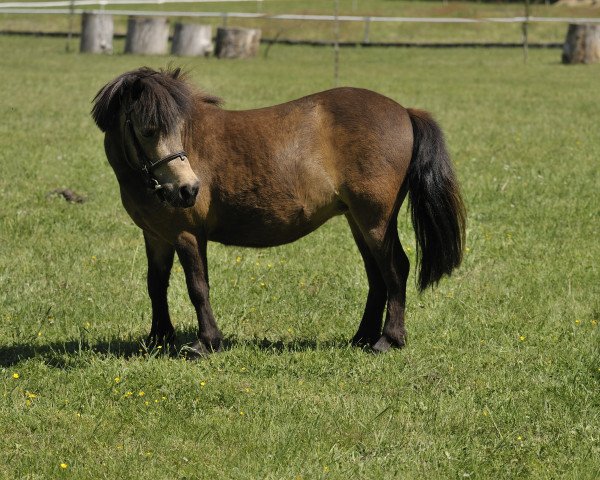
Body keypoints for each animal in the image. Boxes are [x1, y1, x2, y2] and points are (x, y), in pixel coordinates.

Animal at [91, 65, 466, 354]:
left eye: (178, 128)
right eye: (148, 130)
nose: (189, 190)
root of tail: (405, 112)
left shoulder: (188, 234)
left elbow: (197, 287)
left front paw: (207, 342)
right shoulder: (155, 236)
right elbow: (156, 284)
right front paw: (158, 337)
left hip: (375, 220)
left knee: (396, 268)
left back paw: (389, 339)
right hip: (358, 221)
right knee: (377, 275)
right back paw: (361, 337)